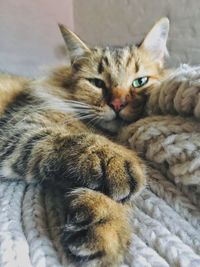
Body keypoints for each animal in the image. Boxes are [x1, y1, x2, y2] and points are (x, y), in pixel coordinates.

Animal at [0, 17, 169, 266]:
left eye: (140, 81)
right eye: (97, 83)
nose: (117, 104)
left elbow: (116, 197)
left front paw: (105, 223)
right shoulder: (20, 129)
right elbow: (75, 139)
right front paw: (114, 160)